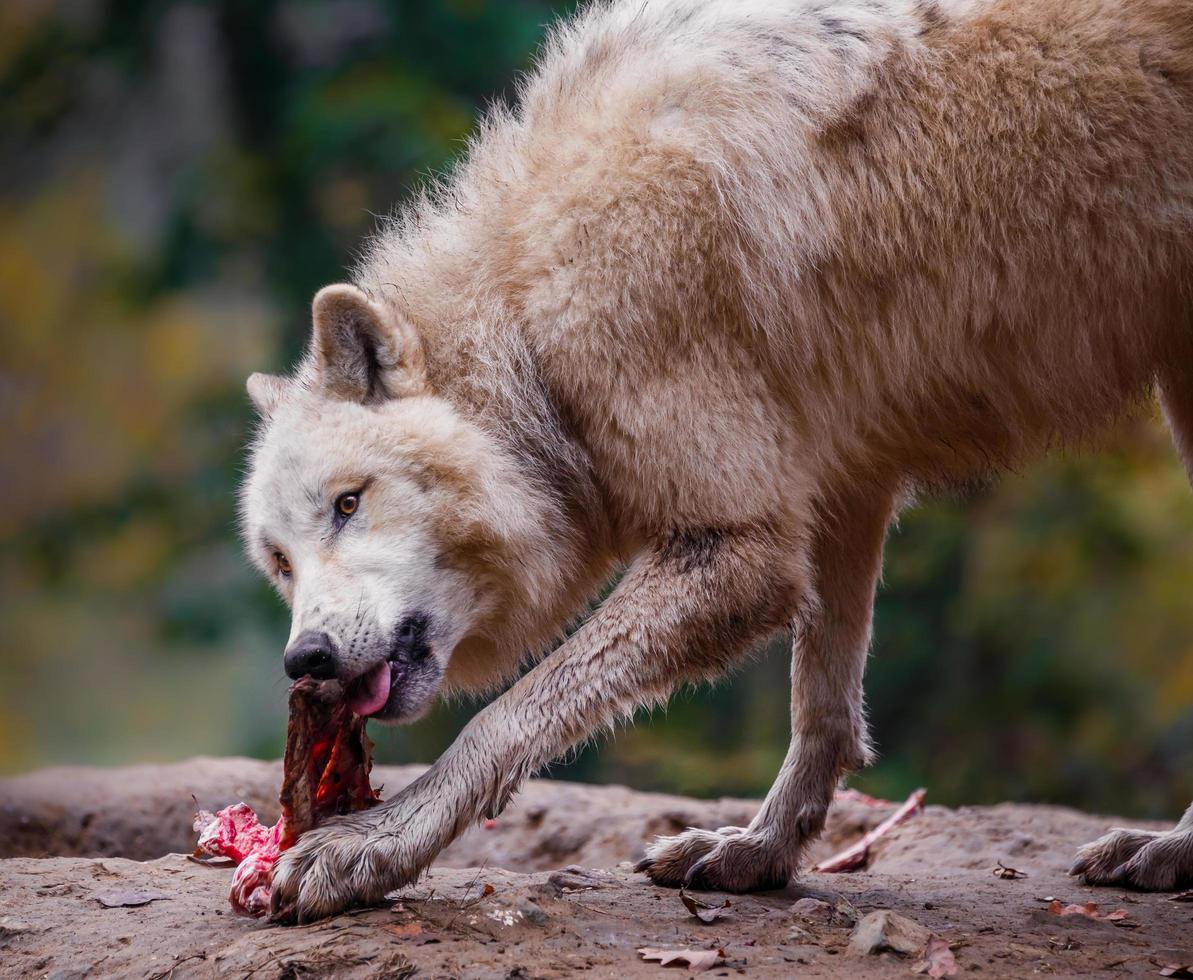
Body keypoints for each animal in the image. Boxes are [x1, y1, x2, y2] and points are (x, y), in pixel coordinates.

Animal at [242, 0, 1193, 921]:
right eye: (279, 563)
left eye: (349, 503)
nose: (305, 659)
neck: (530, 319)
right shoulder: (836, 484)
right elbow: (822, 706)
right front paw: (759, 854)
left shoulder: (738, 543)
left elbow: (505, 716)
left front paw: (373, 847)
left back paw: (1167, 851)